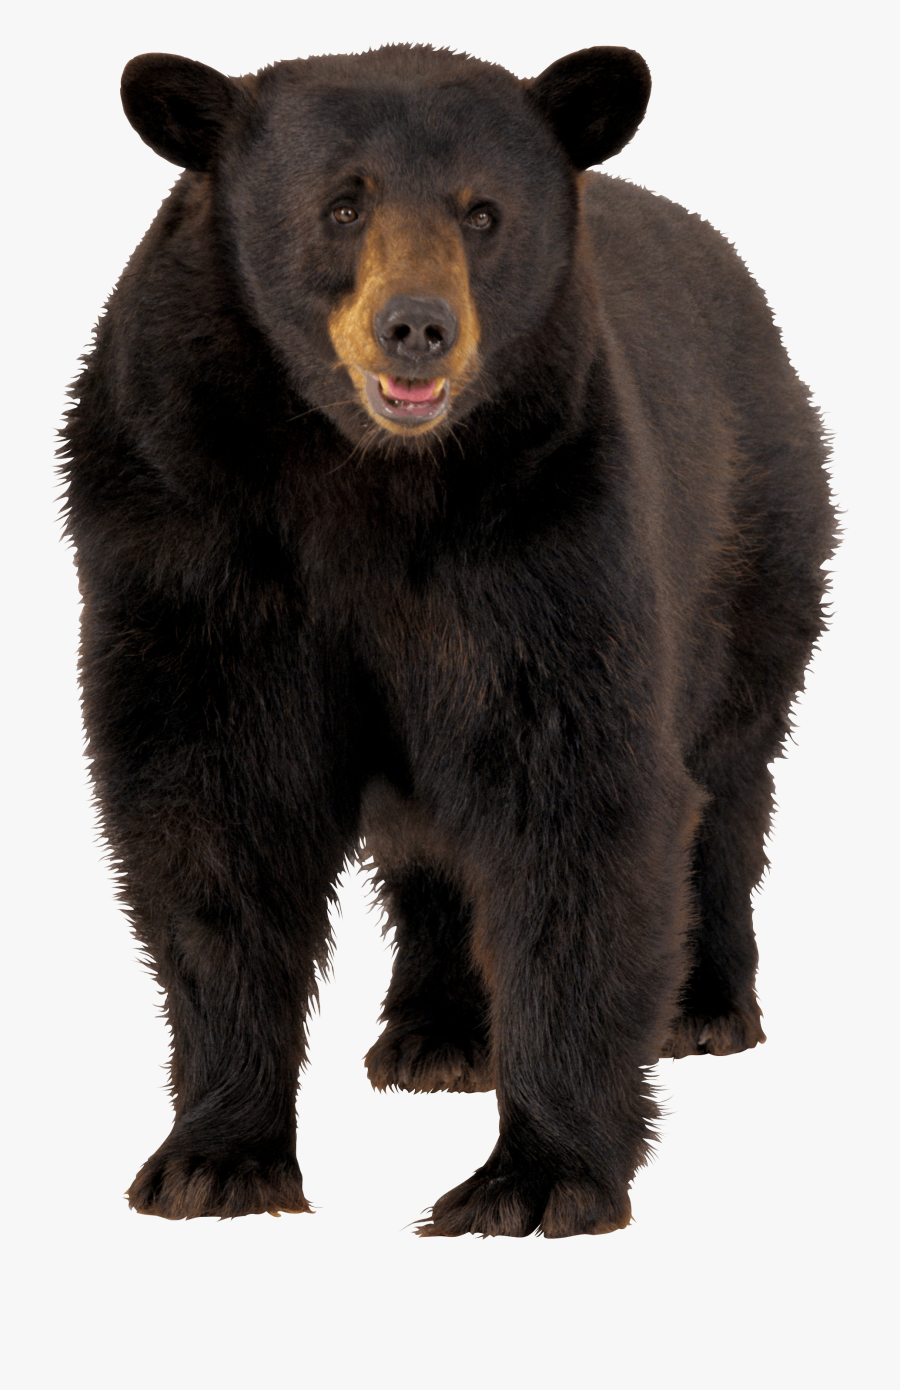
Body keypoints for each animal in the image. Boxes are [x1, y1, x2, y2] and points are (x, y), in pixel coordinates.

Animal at [61, 43, 835, 1236]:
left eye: (484, 213)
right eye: (341, 204)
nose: (416, 325)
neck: (362, 476)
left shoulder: (550, 524)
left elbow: (578, 794)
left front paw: (536, 1175)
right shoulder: (182, 526)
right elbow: (213, 812)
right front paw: (213, 1159)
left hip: (754, 541)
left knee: (730, 771)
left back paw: (704, 1003)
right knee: (429, 837)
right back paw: (438, 1034)